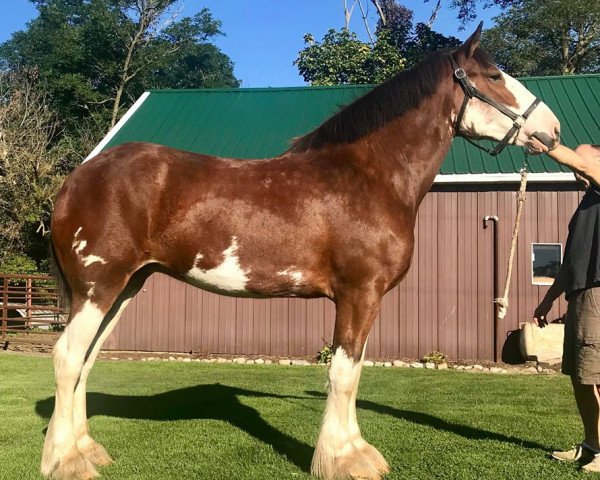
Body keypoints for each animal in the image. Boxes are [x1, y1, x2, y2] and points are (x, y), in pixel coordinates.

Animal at [43, 25, 564, 480]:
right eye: (493, 76)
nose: (554, 129)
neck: (368, 176)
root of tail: (75, 180)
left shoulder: (365, 299)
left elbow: (353, 372)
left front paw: (355, 452)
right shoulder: (359, 293)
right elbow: (343, 374)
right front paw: (342, 460)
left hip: (126, 286)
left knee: (86, 359)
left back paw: (87, 449)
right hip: (99, 286)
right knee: (67, 356)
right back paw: (65, 461)